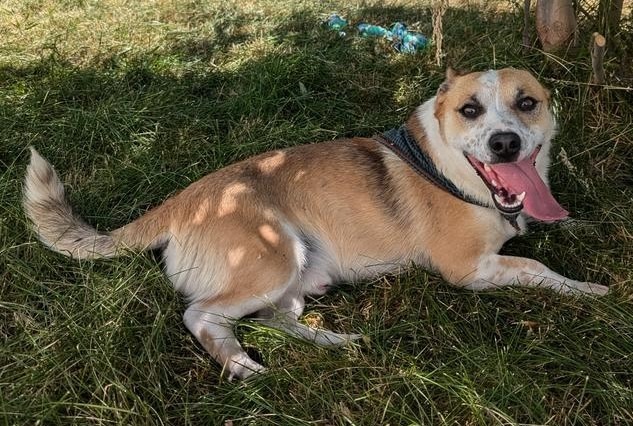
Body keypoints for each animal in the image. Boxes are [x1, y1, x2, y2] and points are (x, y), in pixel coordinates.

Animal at [23, 67, 608, 380]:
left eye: (527, 103)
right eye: (470, 110)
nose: (505, 143)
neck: (451, 167)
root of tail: (183, 200)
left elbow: (554, 231)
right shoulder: (468, 269)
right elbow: (534, 266)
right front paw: (590, 289)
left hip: (297, 278)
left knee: (273, 321)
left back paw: (337, 343)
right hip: (273, 258)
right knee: (201, 316)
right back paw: (240, 366)